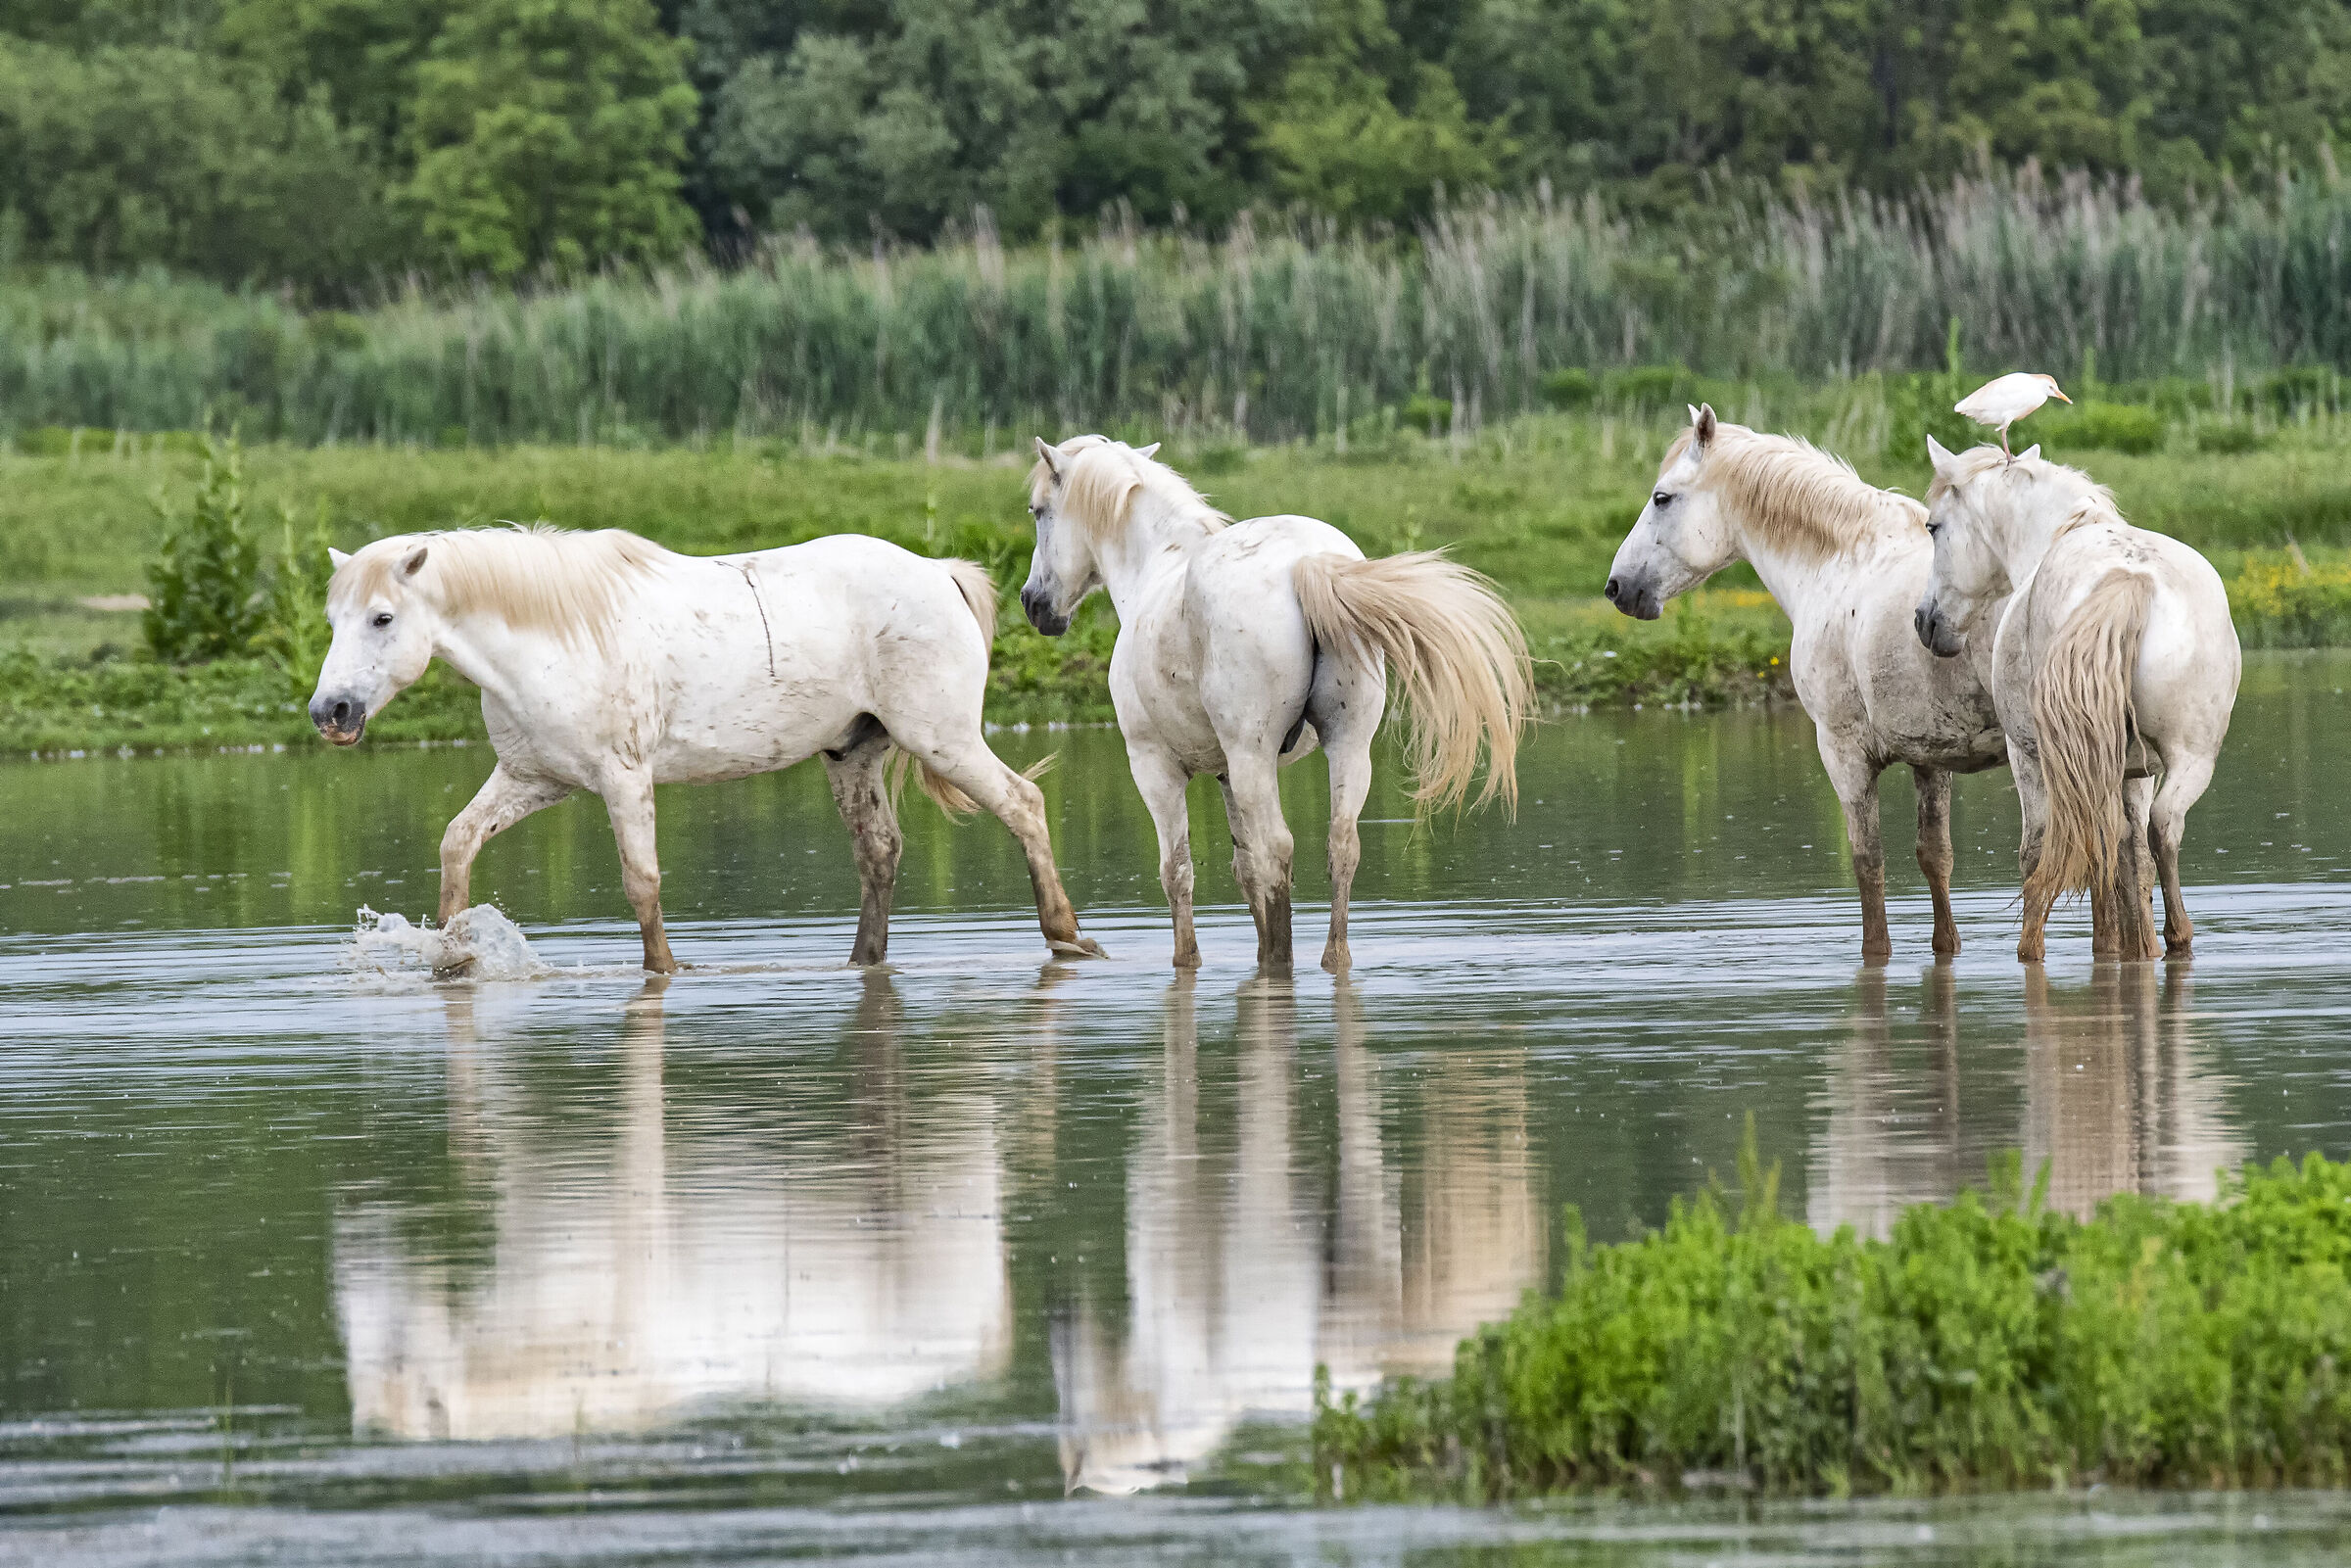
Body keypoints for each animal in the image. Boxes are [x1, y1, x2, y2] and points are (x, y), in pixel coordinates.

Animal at [307, 525, 1106, 973]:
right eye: (334, 617)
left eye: (382, 617)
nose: (329, 711)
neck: (551, 636)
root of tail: (938, 571)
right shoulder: (534, 778)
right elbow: (457, 842)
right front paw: (454, 957)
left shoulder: (623, 778)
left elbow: (642, 881)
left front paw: (664, 971)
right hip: (855, 753)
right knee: (879, 851)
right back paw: (862, 961)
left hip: (943, 740)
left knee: (1024, 804)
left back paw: (1067, 939)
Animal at [1019, 436, 1531, 974]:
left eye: (1039, 511)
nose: (1033, 603)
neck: (1156, 564)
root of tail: (1305, 563)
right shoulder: (1226, 774)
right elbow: (1244, 872)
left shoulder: (1155, 766)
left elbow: (1178, 872)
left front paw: (1190, 962)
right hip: (1346, 746)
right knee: (1339, 846)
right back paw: (1331, 959)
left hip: (1253, 757)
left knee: (1277, 852)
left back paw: (1282, 964)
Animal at [1604, 405, 2008, 960]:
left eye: (1662, 497)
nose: (1617, 587)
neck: (1841, 558)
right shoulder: (1930, 756)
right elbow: (1936, 859)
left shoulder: (1844, 754)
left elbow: (1869, 868)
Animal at [1916, 438, 2239, 961]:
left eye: (1934, 526)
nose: (1925, 620)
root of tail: (2130, 578)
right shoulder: (2136, 770)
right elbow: (2132, 859)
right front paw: (2136, 945)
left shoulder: (2026, 754)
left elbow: (2038, 851)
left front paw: (2040, 946)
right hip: (2192, 757)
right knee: (2161, 830)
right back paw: (2176, 936)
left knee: (2096, 837)